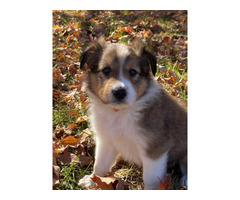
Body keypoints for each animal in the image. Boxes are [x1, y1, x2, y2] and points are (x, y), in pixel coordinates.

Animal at [78, 37, 187, 189]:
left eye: (133, 72)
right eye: (106, 70)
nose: (119, 92)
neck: (120, 112)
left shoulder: (155, 149)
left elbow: (150, 179)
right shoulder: (106, 141)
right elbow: (100, 164)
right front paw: (93, 179)